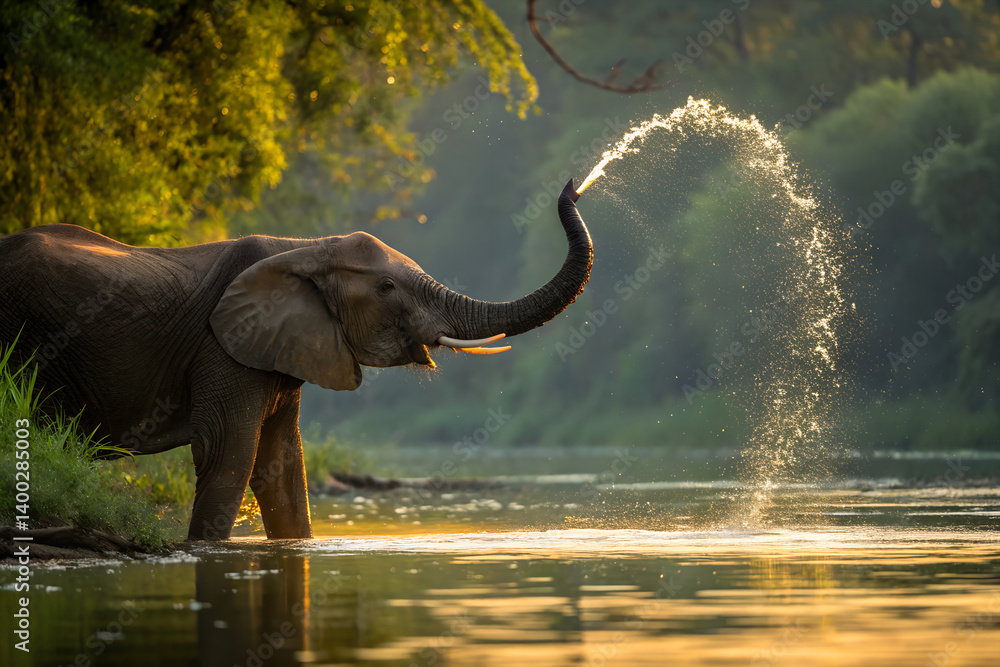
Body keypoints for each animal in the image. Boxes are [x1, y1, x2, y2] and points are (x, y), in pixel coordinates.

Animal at [0, 180, 592, 540]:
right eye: (385, 288)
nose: (573, 187)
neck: (307, 248)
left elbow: (282, 466)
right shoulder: (223, 345)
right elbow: (230, 455)